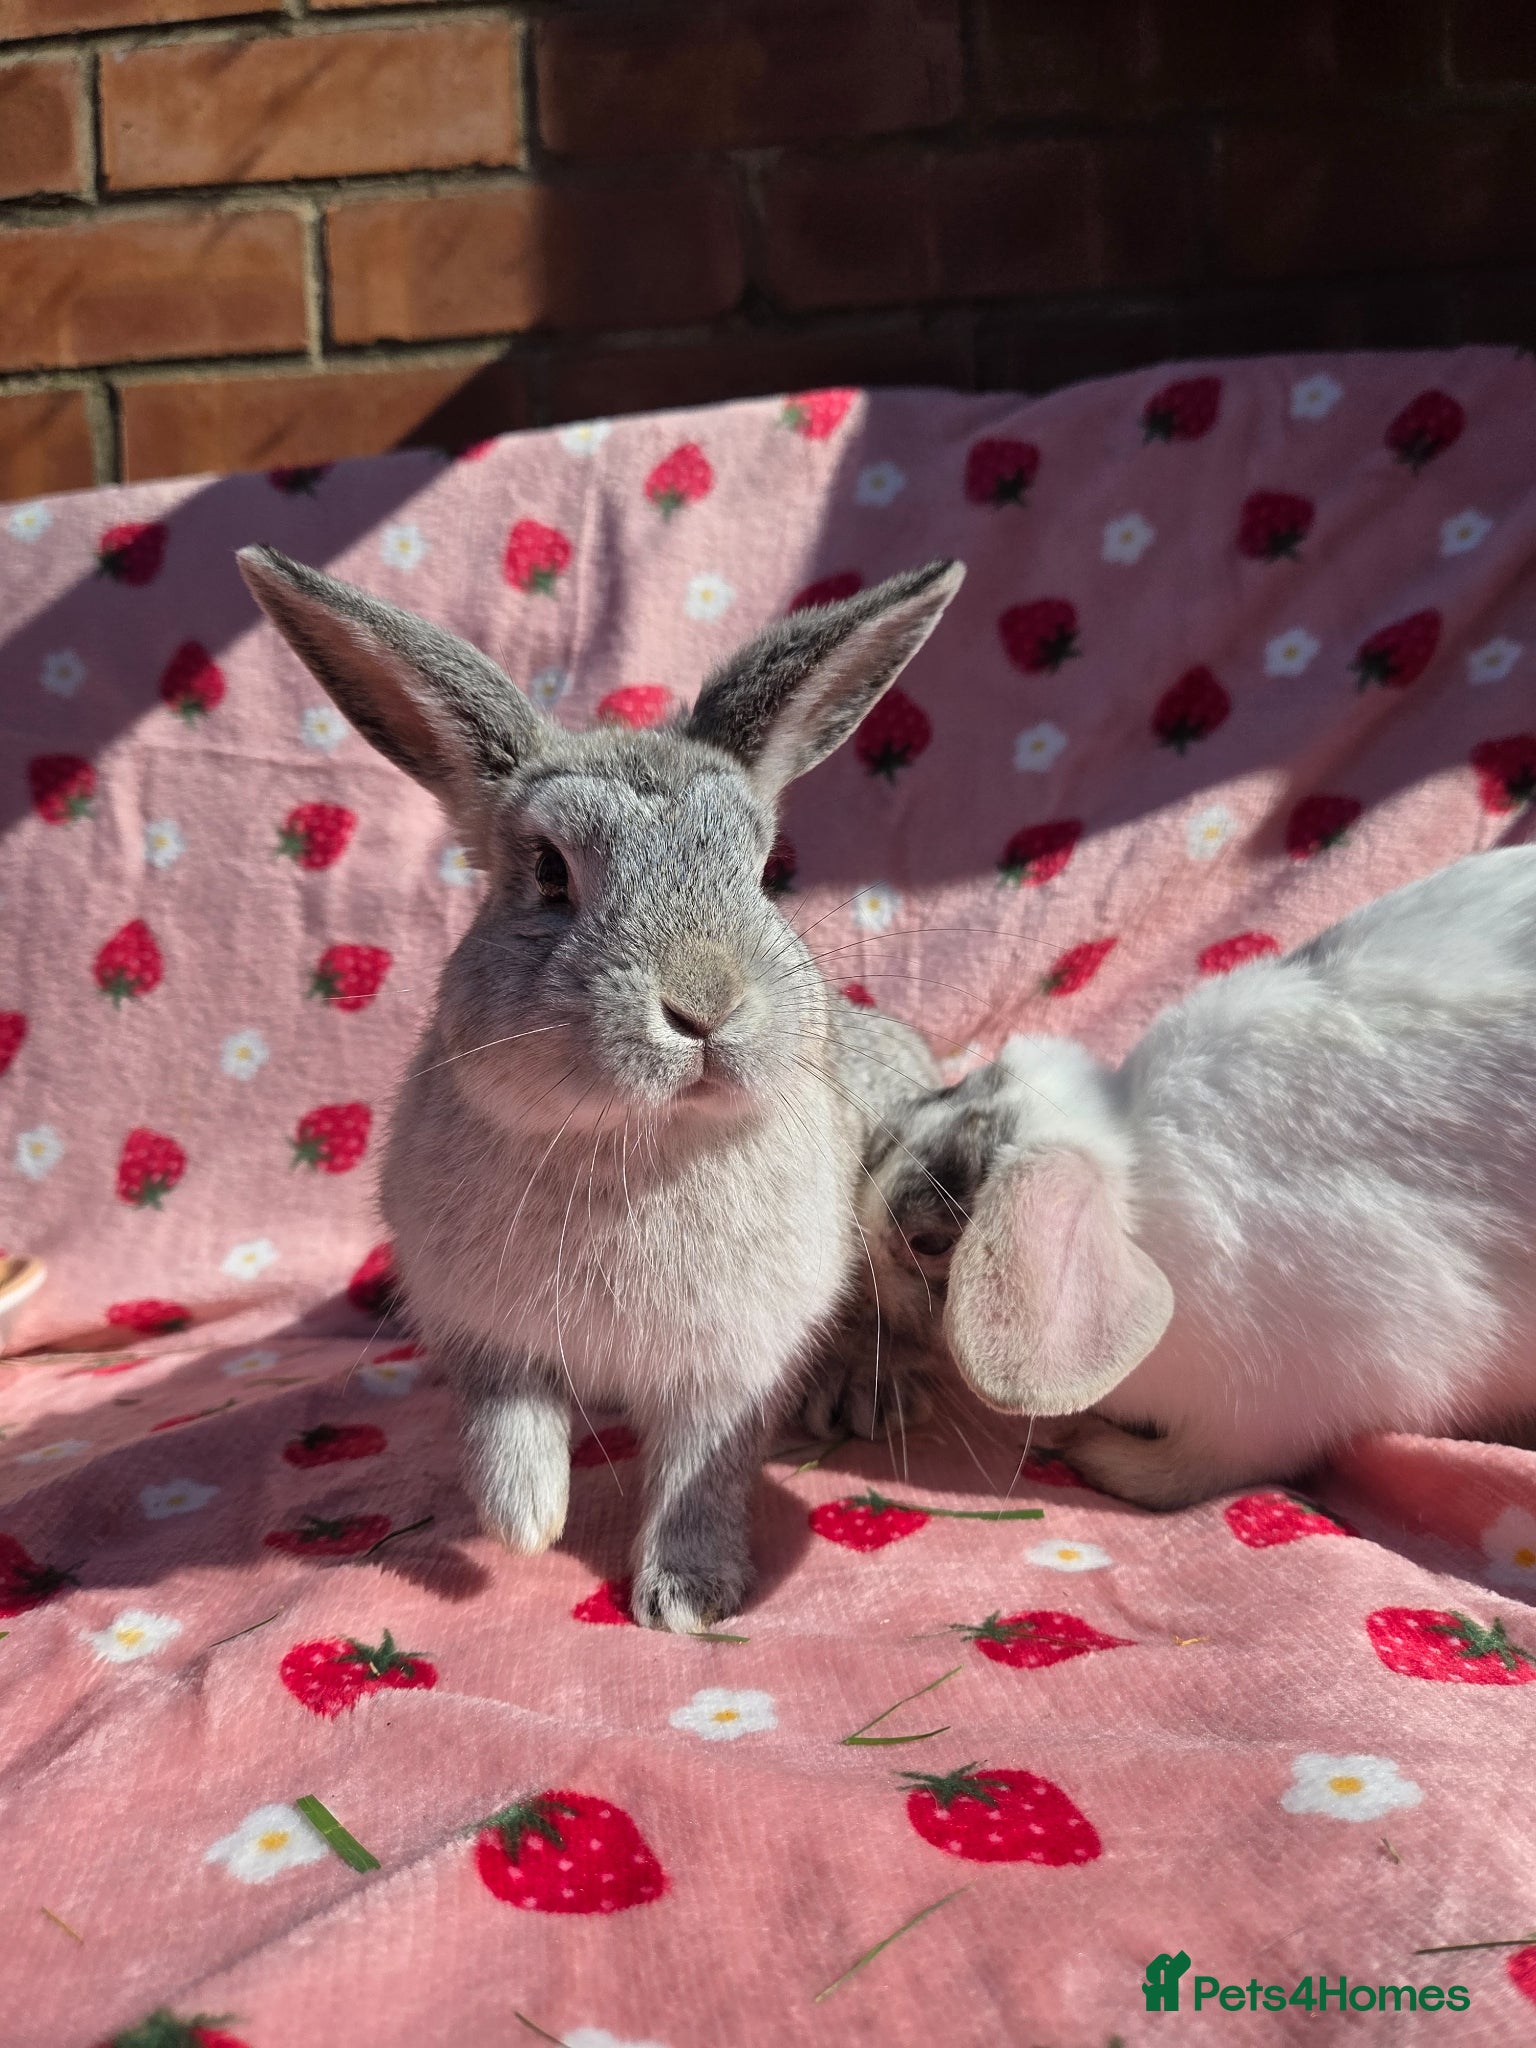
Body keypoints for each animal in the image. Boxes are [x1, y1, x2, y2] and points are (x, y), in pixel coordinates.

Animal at [236, 543, 965, 1629]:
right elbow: (507, 1429)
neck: (637, 1138)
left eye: (760, 870)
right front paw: (524, 1525)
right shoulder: (481, 1333)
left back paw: (860, 1393)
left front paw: (687, 1600)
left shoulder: (726, 1368)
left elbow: (702, 1474)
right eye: (548, 870)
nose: (704, 1005)